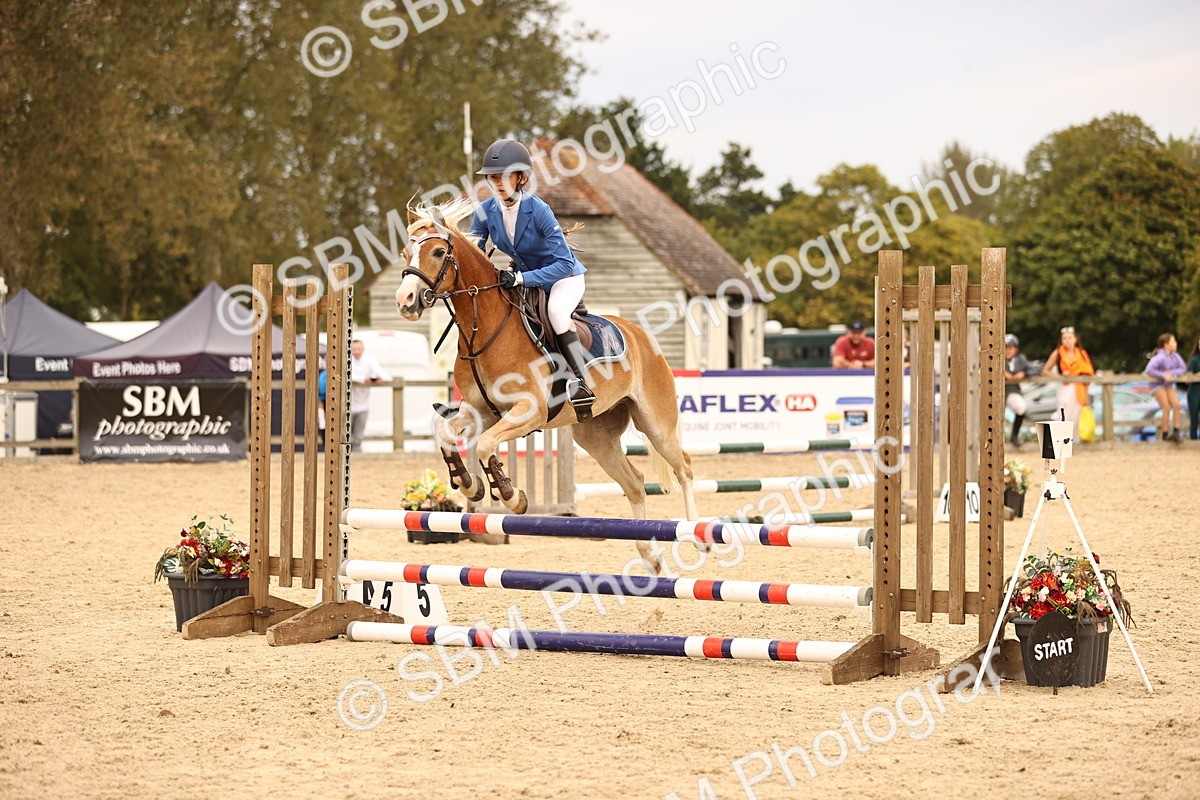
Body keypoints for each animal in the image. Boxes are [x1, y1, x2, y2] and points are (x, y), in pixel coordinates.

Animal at [394, 198, 698, 573]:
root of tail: (641, 335)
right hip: (595, 436)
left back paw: (697, 539)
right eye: (406, 252)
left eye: (438, 252)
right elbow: (445, 432)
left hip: (656, 423)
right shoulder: (480, 410)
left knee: (684, 468)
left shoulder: (531, 411)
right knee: (636, 484)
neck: (486, 326)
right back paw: (651, 558)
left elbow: (485, 445)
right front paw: (471, 484)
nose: (405, 300)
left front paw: (510, 496)